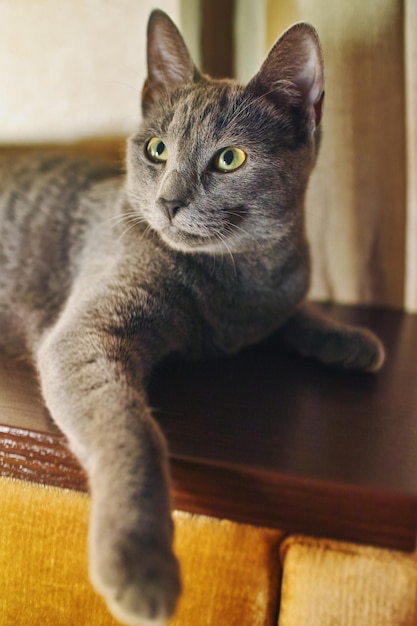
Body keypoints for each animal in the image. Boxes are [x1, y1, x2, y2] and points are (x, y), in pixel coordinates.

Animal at [0, 9, 384, 624]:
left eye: (230, 158)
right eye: (157, 149)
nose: (168, 201)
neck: (233, 281)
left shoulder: (273, 295)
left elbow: (291, 313)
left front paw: (347, 336)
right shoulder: (85, 333)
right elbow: (130, 429)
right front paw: (138, 560)